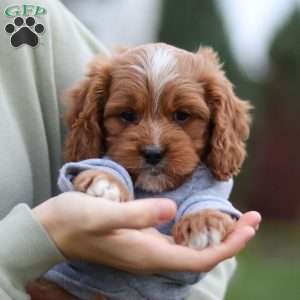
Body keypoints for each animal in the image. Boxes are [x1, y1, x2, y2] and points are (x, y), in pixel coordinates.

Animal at [29, 42, 251, 300]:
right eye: (127, 115)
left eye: (182, 115)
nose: (153, 153)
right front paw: (106, 182)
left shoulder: (211, 188)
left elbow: (206, 200)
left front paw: (204, 221)